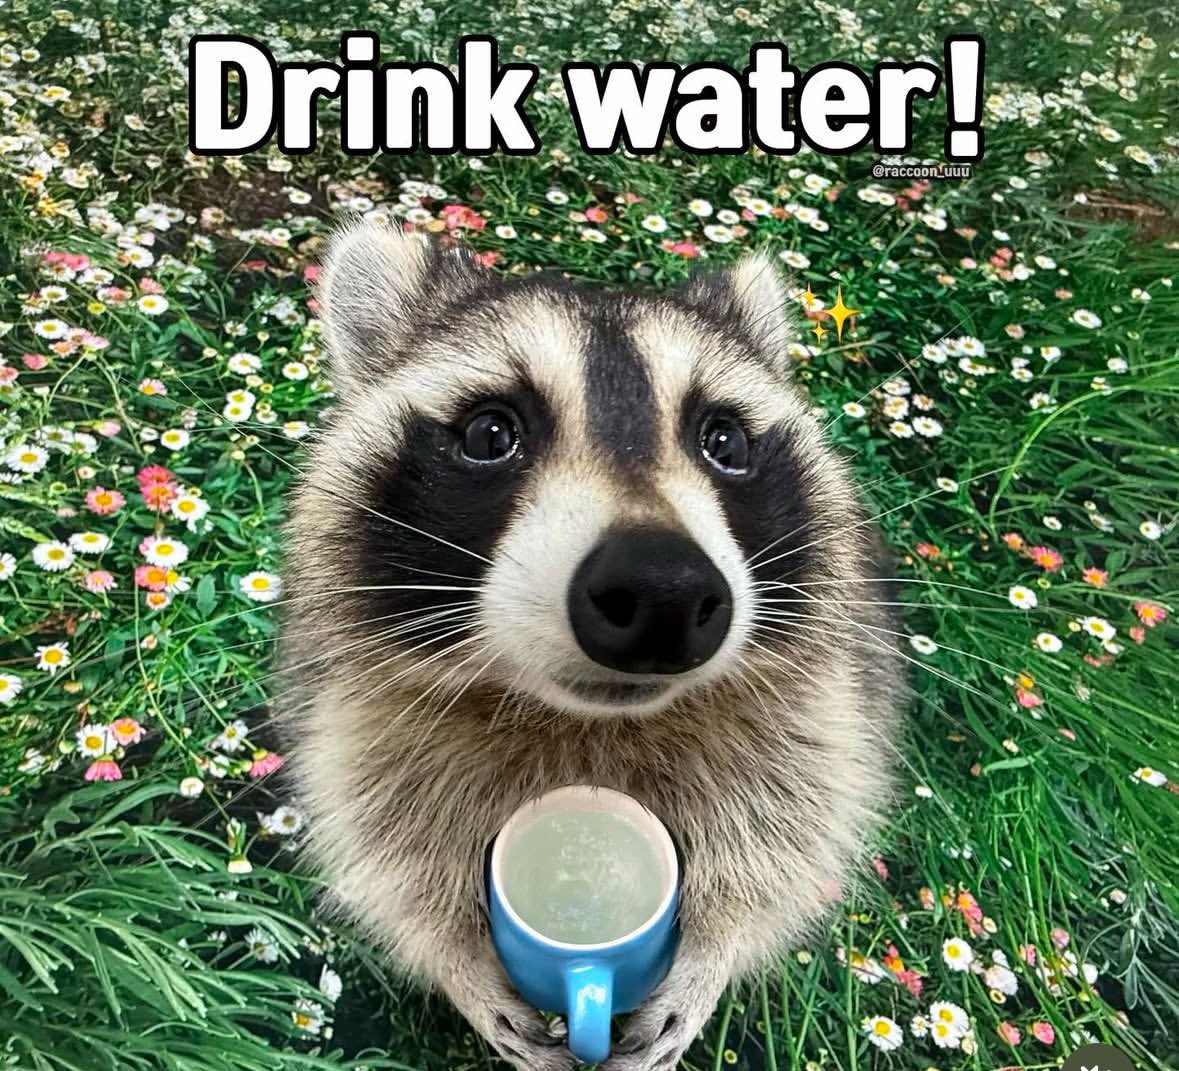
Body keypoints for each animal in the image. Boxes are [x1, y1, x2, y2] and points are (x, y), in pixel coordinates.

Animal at [281, 221, 903, 1071]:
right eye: (490, 433)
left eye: (723, 440)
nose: (662, 593)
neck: (585, 721)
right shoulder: (362, 709)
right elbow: (386, 837)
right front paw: (457, 956)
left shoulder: (816, 701)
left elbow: (788, 826)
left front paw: (713, 947)